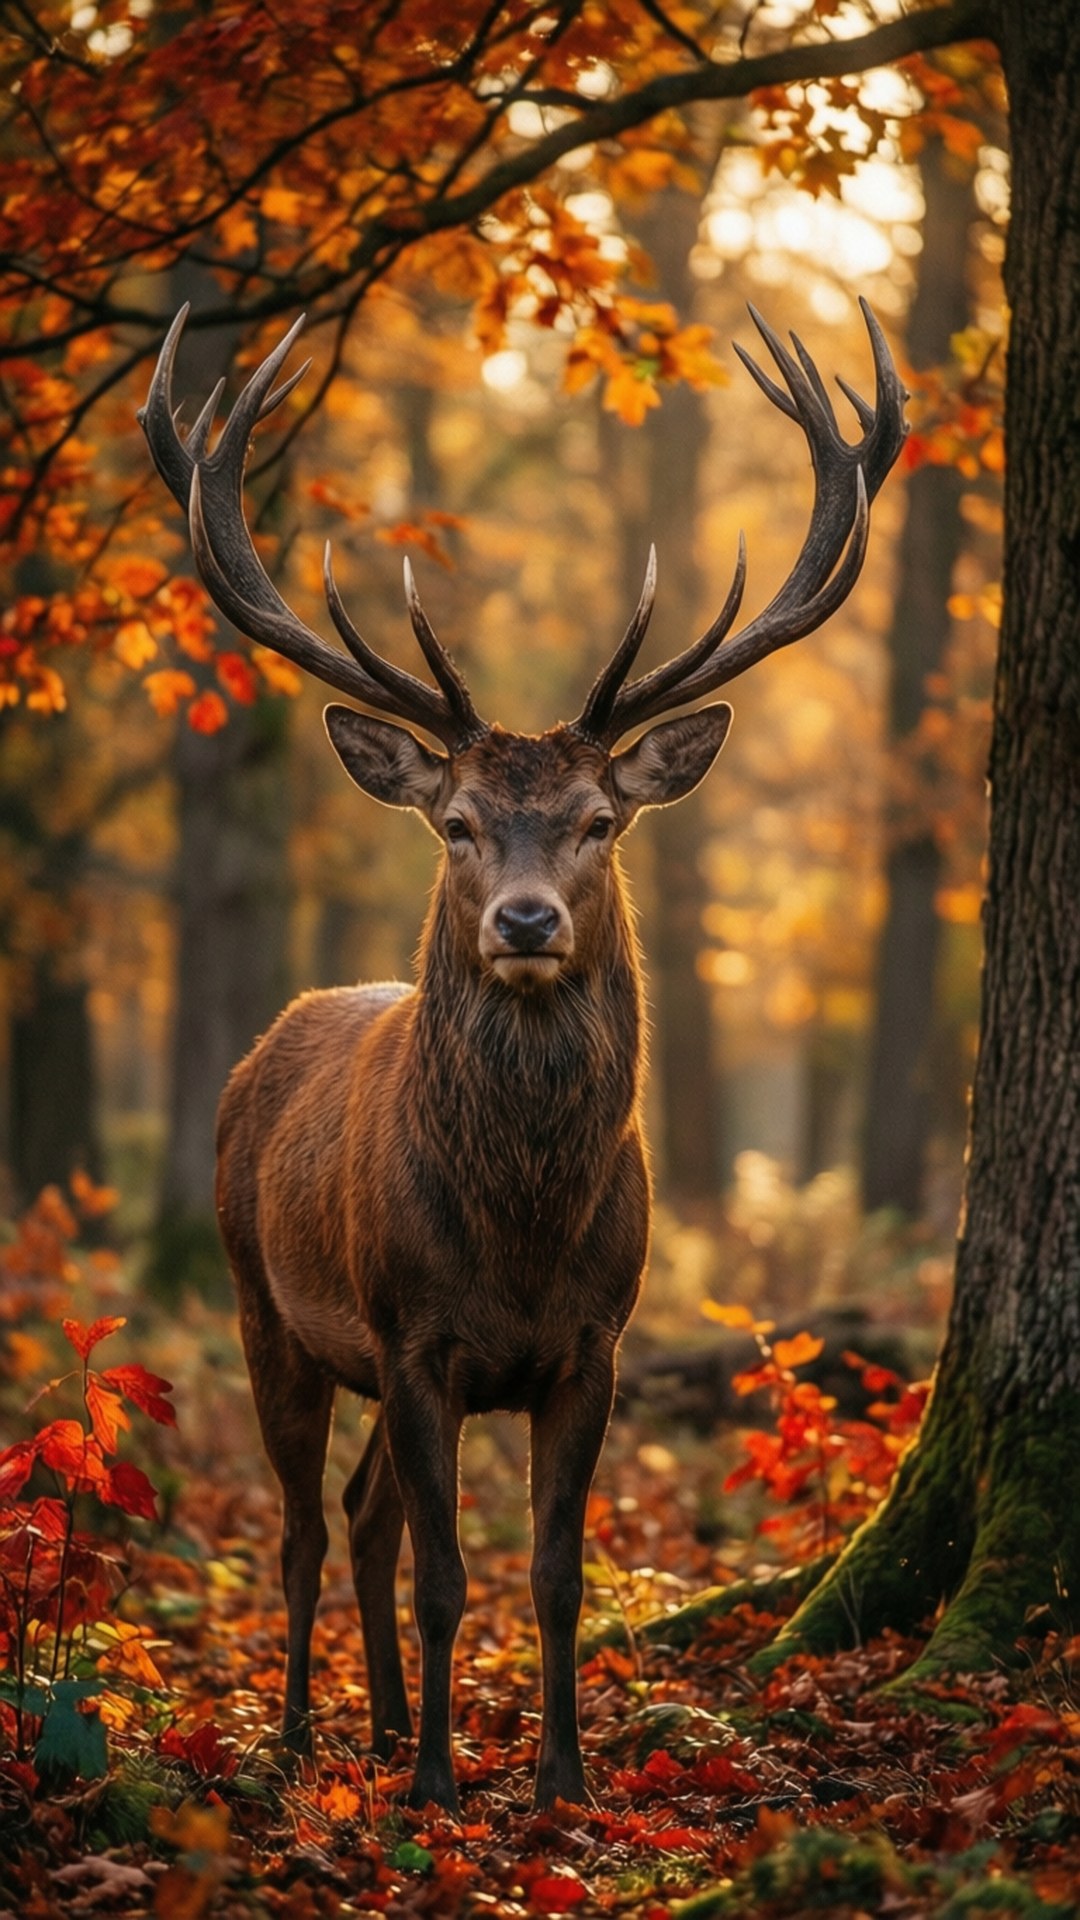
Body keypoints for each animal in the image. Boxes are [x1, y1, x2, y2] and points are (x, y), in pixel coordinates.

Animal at [139, 299, 906, 1814]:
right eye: (457, 824)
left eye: (602, 819)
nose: (528, 920)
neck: (520, 1229)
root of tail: (266, 1047)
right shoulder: (413, 1332)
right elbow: (451, 1576)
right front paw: (443, 1784)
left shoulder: (593, 1345)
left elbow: (552, 1575)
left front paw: (561, 1778)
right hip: (267, 1305)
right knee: (306, 1528)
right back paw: (310, 1738)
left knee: (362, 1515)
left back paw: (379, 1726)